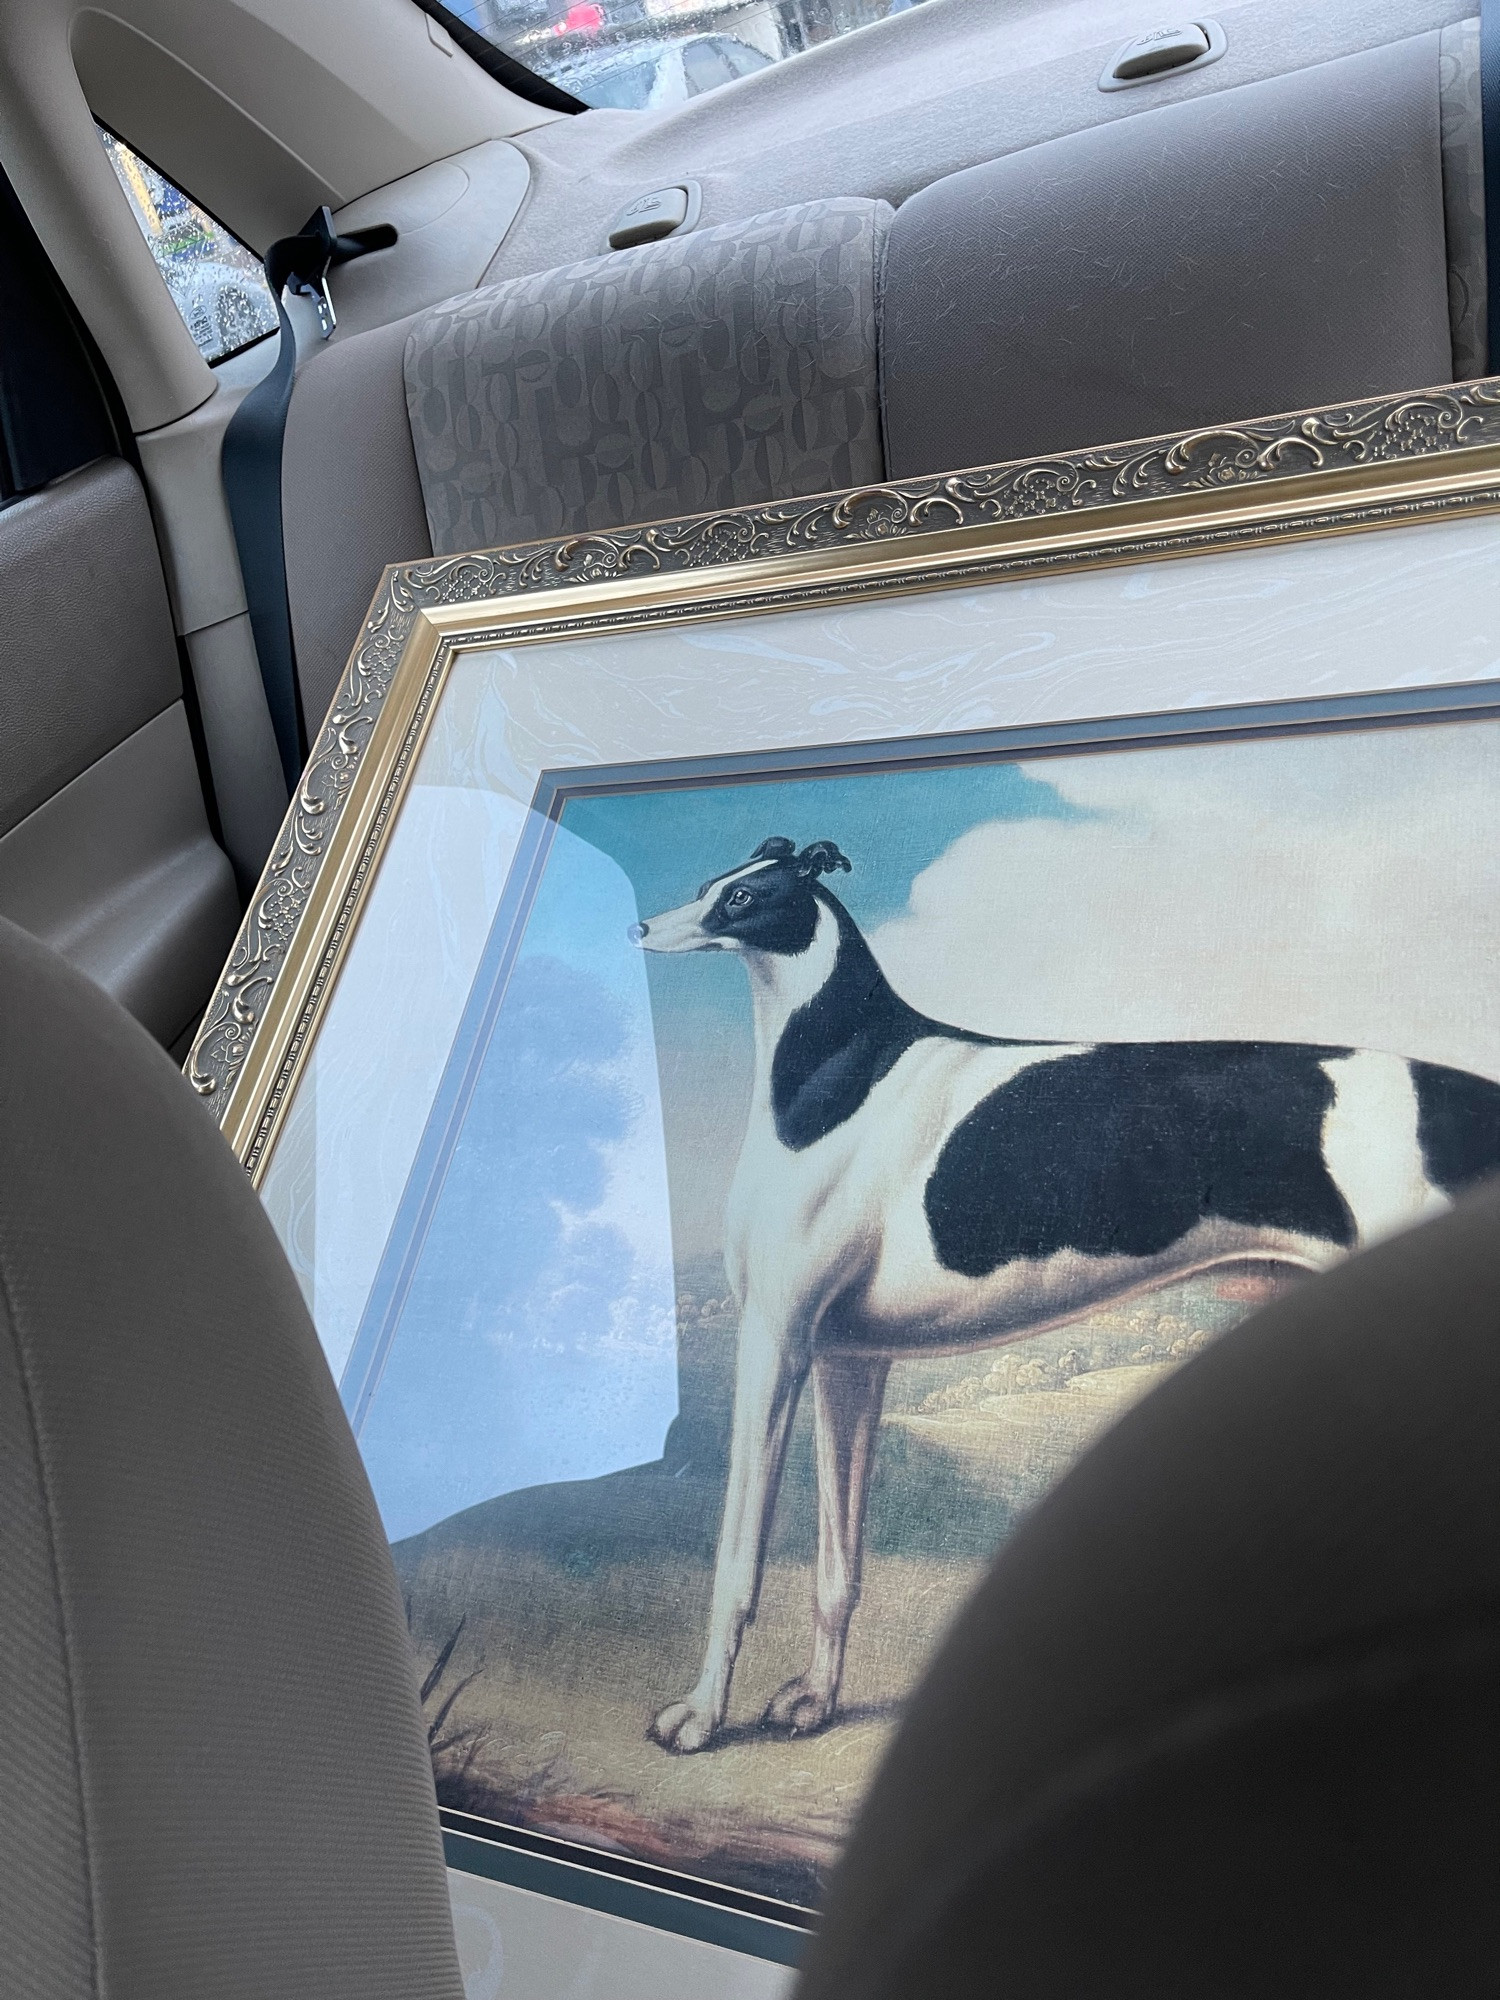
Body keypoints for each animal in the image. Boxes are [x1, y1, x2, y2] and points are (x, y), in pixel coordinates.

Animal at [636, 832, 1500, 1752]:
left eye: (743, 898)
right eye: (712, 884)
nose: (640, 927)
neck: (840, 1079)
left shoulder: (775, 1344)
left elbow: (738, 1562)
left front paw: (698, 1717)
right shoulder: (849, 1362)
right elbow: (837, 1568)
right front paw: (814, 1701)